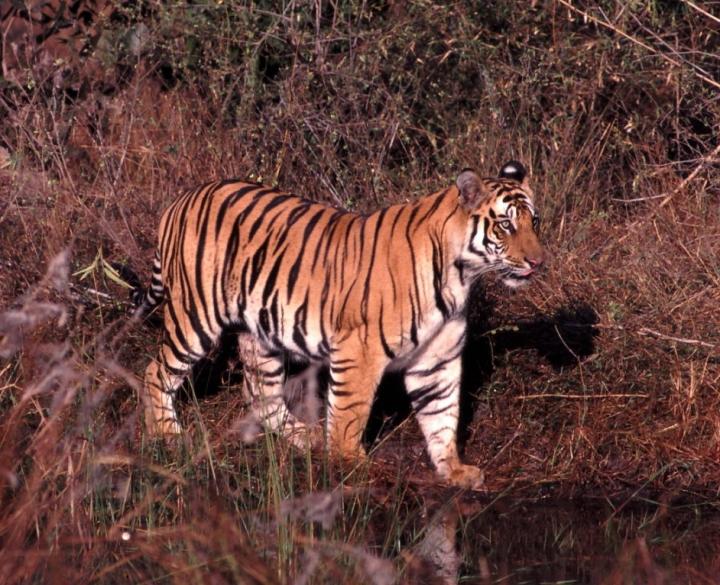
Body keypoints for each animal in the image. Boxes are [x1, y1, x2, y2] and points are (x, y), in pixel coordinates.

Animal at [135, 161, 544, 489]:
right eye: (506, 225)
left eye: (534, 221)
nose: (538, 262)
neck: (461, 275)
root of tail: (181, 200)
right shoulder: (359, 350)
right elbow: (351, 413)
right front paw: (350, 464)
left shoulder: (437, 360)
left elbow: (442, 415)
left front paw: (453, 470)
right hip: (195, 317)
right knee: (155, 371)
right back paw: (168, 436)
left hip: (261, 332)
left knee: (260, 393)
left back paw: (307, 437)